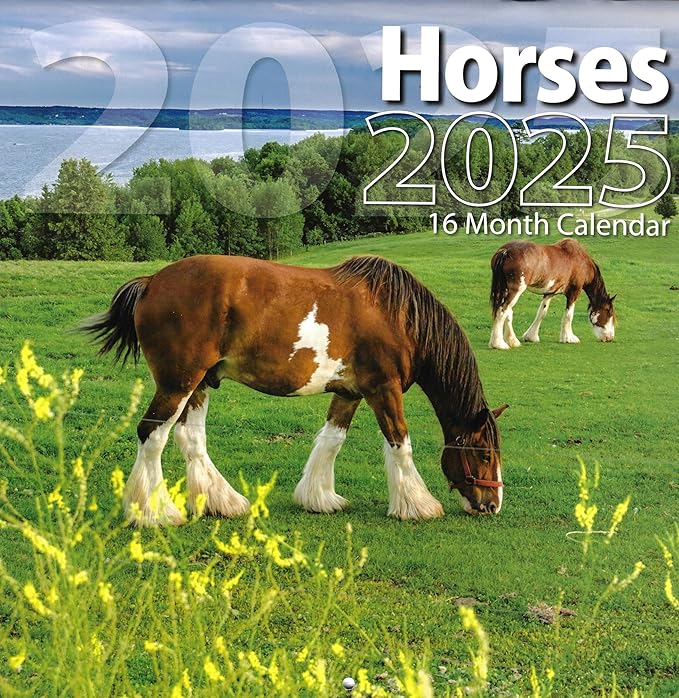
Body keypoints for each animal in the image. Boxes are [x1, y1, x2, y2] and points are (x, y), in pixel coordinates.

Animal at [82, 254, 508, 526]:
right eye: (485, 454)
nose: (492, 505)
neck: (399, 316)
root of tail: (151, 282)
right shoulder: (384, 389)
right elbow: (400, 444)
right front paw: (418, 505)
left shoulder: (350, 391)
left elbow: (332, 440)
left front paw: (319, 497)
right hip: (179, 381)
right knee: (152, 434)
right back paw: (155, 513)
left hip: (200, 382)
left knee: (190, 437)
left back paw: (223, 502)